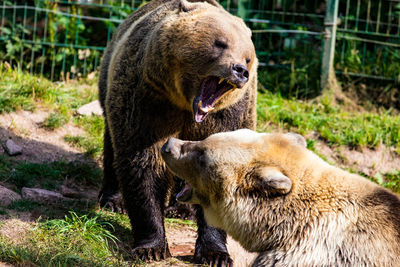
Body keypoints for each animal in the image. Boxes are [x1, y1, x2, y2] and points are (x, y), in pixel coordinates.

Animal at [98, 0, 258, 264]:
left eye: (248, 57)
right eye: (220, 42)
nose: (240, 70)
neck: (186, 105)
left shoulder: (228, 116)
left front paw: (215, 254)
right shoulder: (147, 98)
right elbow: (143, 162)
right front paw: (151, 247)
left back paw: (182, 209)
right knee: (112, 143)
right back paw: (113, 199)